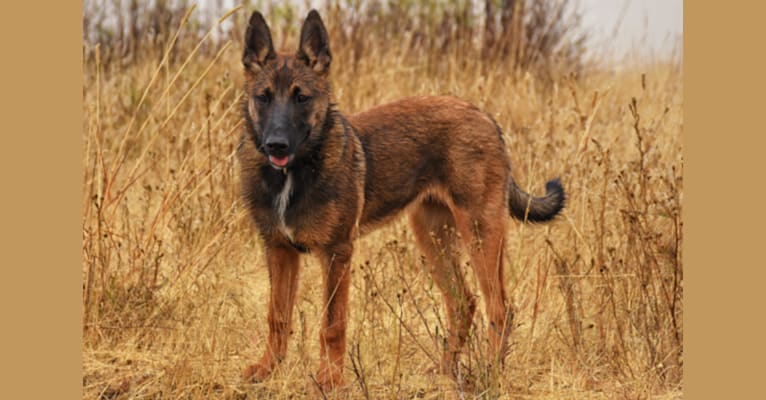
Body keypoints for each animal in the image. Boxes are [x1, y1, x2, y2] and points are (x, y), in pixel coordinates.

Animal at [237, 8, 568, 390]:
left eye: (301, 97)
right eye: (263, 97)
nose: (275, 144)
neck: (294, 172)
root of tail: (483, 116)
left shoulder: (336, 253)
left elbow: (332, 324)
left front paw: (330, 380)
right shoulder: (279, 251)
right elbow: (276, 316)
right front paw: (267, 370)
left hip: (480, 232)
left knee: (499, 307)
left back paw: (489, 374)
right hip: (433, 238)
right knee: (463, 303)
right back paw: (447, 369)